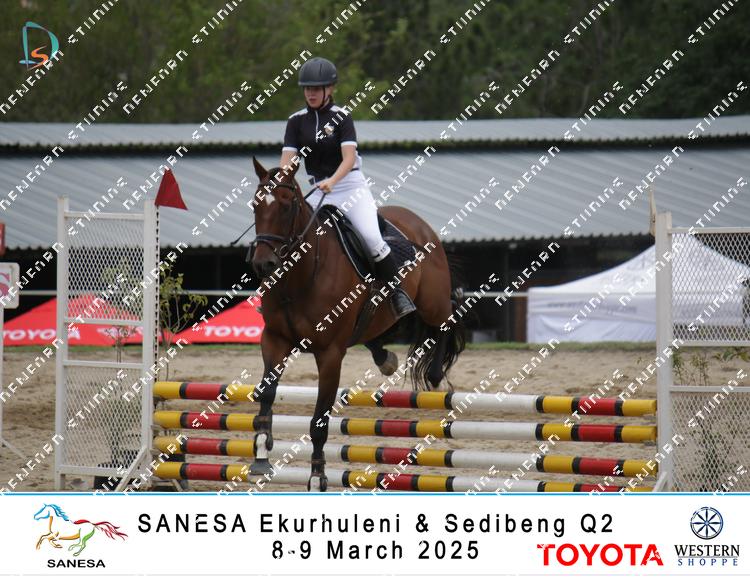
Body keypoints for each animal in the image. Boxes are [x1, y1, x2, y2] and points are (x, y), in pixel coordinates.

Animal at [247, 157, 466, 491]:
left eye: (286, 206)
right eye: (255, 206)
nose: (263, 264)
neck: (300, 276)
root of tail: (419, 222)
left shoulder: (329, 354)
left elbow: (319, 421)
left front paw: (317, 477)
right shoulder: (274, 339)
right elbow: (267, 394)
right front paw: (260, 454)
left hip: (432, 302)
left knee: (448, 315)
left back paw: (435, 374)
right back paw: (385, 358)